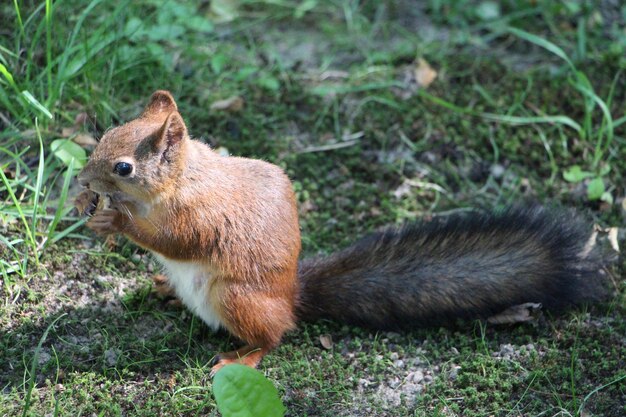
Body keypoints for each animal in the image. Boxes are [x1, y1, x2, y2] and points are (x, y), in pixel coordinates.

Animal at [73, 88, 604, 374]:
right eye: (106, 134)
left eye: (123, 167)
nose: (82, 179)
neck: (183, 181)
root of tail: (291, 296)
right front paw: (93, 212)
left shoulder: (202, 218)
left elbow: (175, 241)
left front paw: (114, 219)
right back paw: (164, 288)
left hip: (238, 297)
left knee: (273, 337)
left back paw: (242, 356)